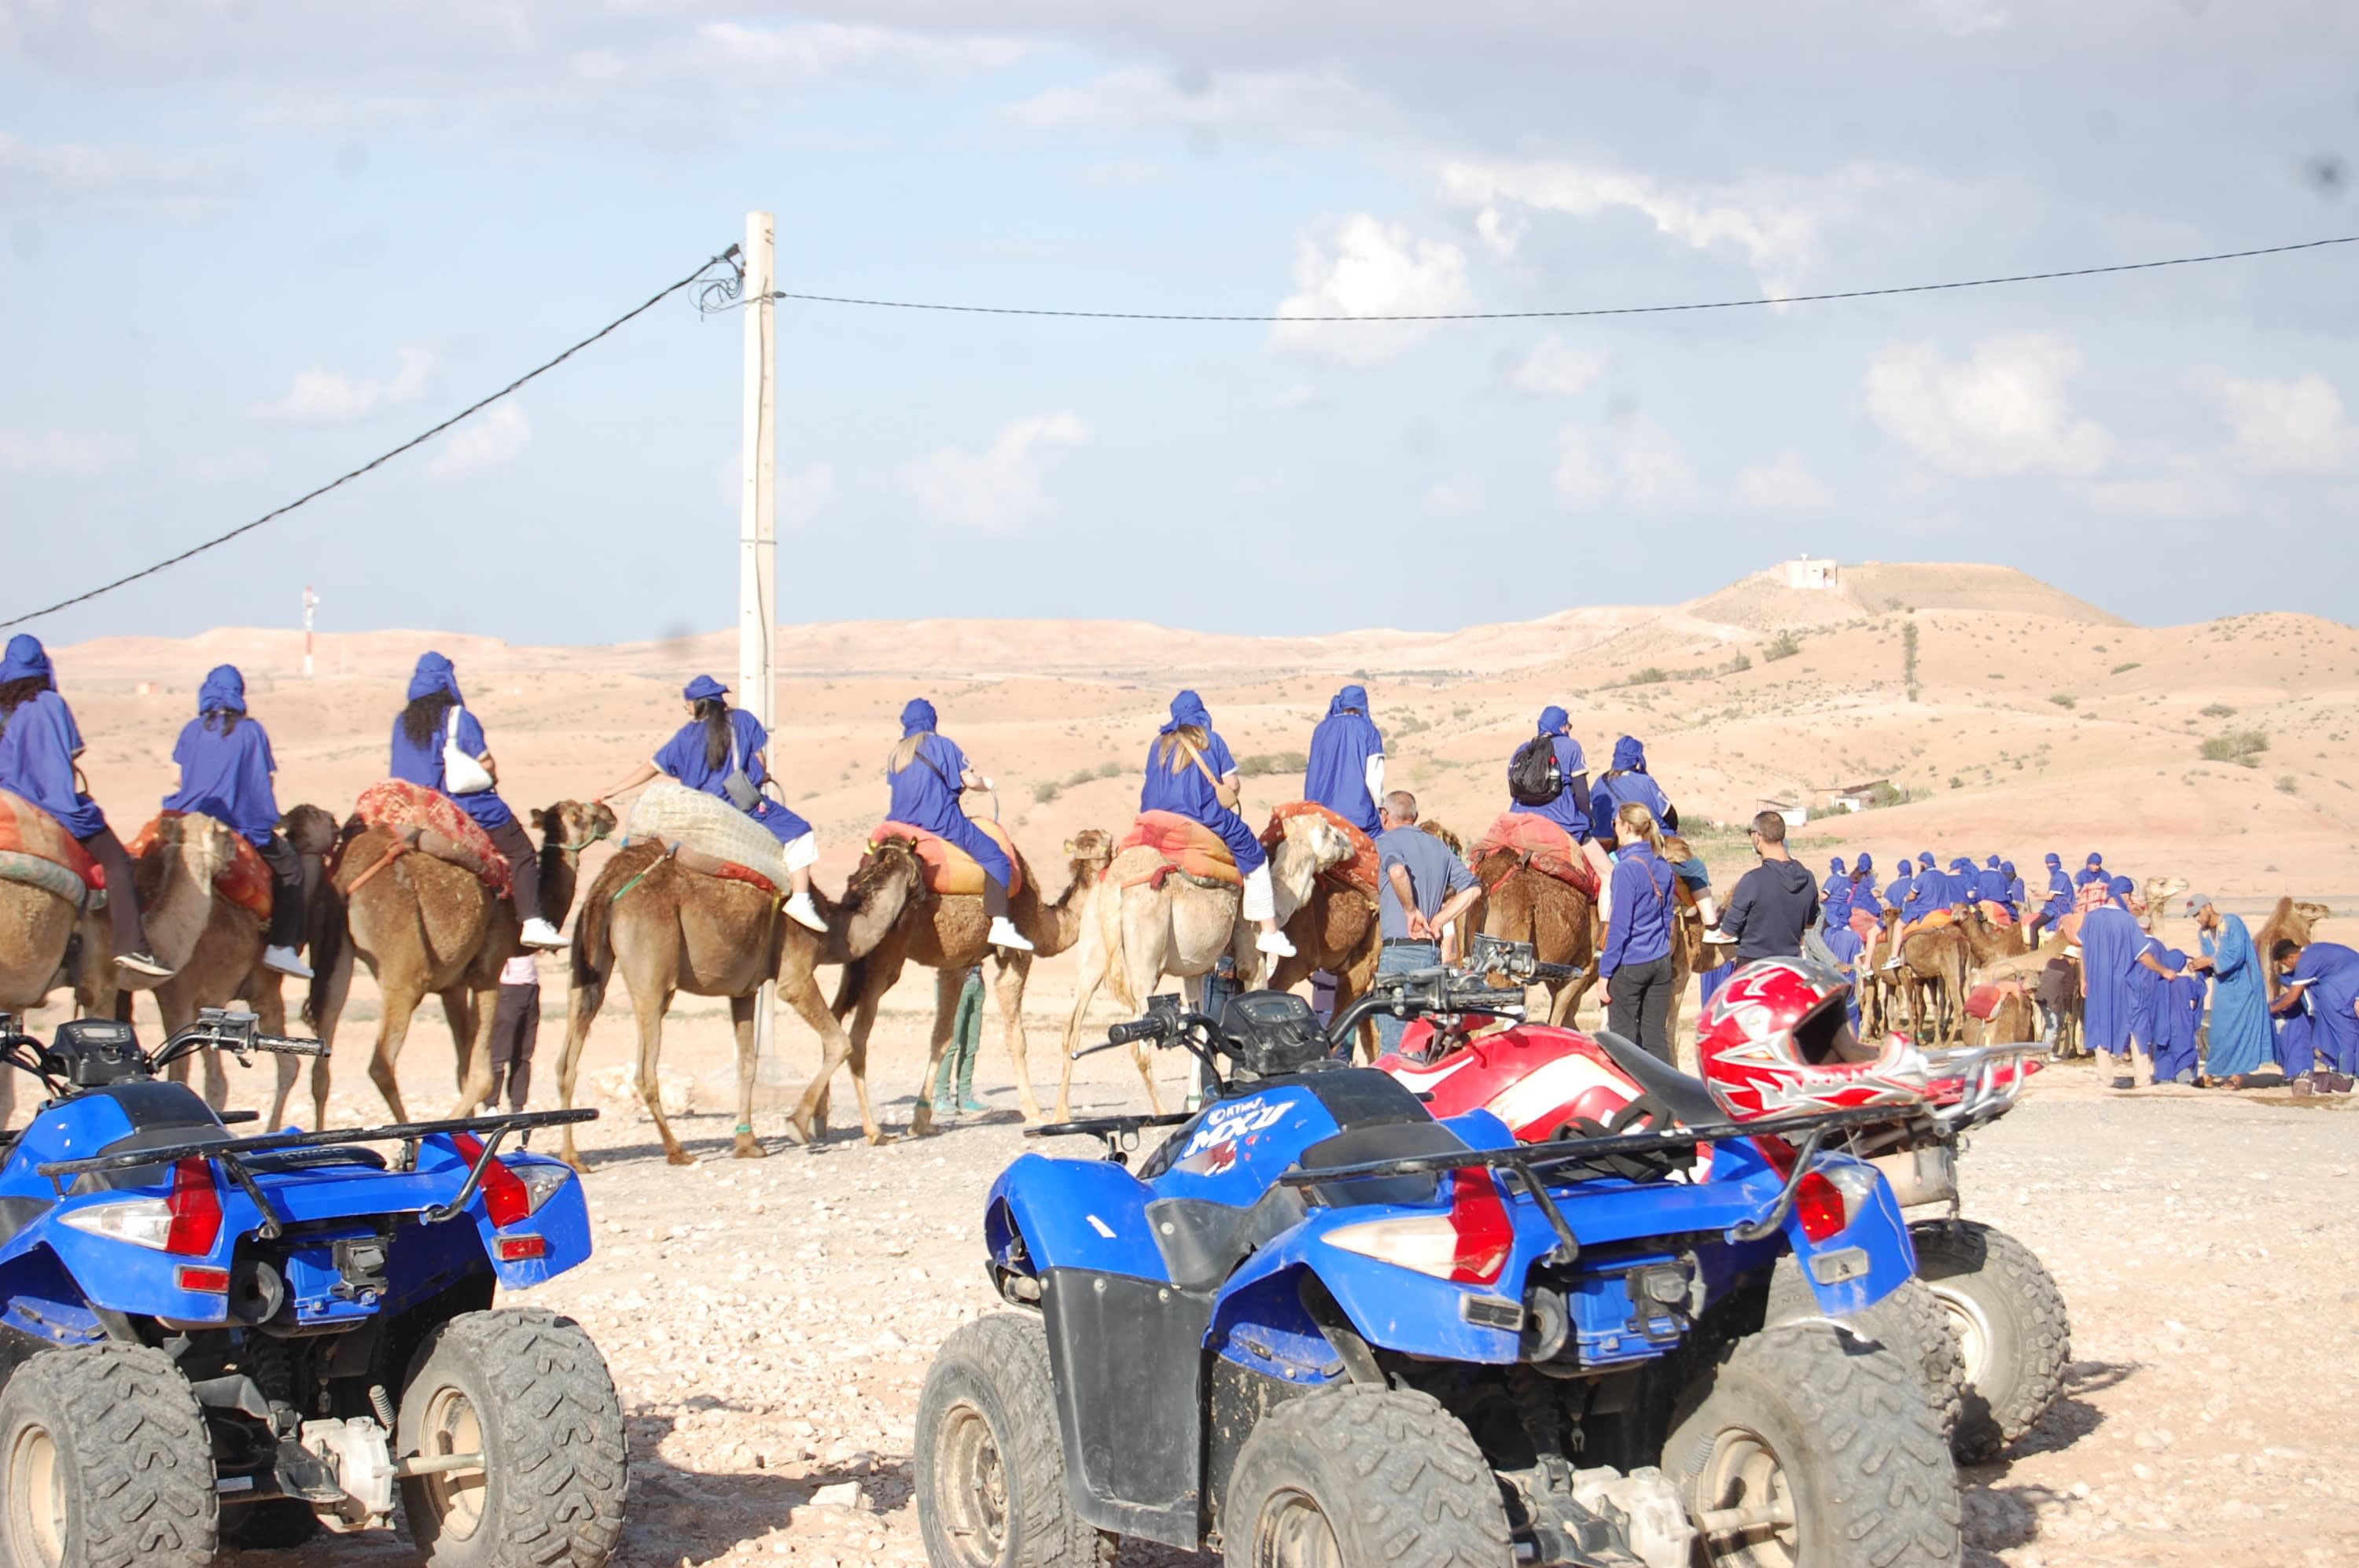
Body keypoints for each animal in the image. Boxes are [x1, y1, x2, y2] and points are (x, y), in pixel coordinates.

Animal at [308, 801, 610, 1127]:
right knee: (381, 1064)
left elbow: (462, 1069)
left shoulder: (452, 986)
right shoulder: (488, 971)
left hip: (337, 959)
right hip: (405, 973)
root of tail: (348, 876)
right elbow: (481, 1077)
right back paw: (412, 1137)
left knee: (321, 1064)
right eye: (579, 814)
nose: (608, 814)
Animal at [557, 835, 927, 1167]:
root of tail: (607, 885)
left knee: (567, 1059)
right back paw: (677, 1151)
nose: (925, 893)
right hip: (652, 973)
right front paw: (797, 1124)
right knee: (644, 1070)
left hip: (586, 967)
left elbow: (747, 1064)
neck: (836, 930)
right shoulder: (795, 976)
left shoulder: (744, 990)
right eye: (921, 864)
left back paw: (573, 1158)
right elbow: (840, 1044)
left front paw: (748, 1143)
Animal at [828, 828, 1116, 1132]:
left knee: (834, 1018)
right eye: (1107, 841)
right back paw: (872, 1130)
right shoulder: (1017, 956)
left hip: (855, 958)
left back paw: (818, 1117)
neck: (1045, 922)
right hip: (885, 959)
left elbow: (941, 1039)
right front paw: (1034, 1112)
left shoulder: (954, 965)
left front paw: (921, 1121)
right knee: (858, 1038)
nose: (1098, 850)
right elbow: (1017, 1039)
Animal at [1051, 812, 1354, 1122]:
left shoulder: (1195, 971)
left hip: (1093, 945)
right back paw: (1160, 1113)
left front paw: (1197, 1100)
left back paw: (1061, 1114)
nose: (1351, 844)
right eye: (1330, 833)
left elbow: (1197, 1028)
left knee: (1071, 1028)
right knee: (1139, 1041)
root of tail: (1114, 885)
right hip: (1145, 952)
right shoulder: (1250, 955)